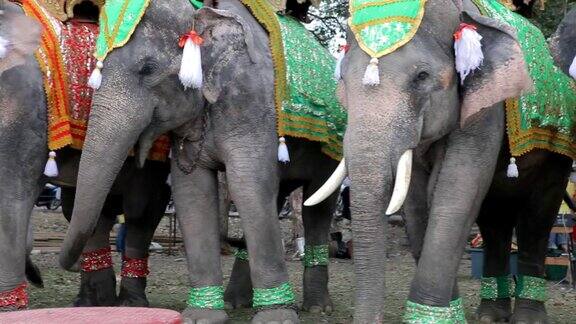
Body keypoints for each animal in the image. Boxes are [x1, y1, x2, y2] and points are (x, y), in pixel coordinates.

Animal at [0, 0, 170, 308]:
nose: (38, 278)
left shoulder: (22, 112)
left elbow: (12, 198)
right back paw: (92, 302)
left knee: (141, 209)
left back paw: (127, 304)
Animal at [55, 1, 342, 322]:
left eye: (147, 69)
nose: (69, 265)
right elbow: (193, 193)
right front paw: (201, 316)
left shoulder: (251, 100)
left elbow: (247, 185)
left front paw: (276, 318)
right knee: (277, 194)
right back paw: (235, 302)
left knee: (316, 206)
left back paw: (316, 307)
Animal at [306, 0, 572, 322]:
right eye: (343, 79)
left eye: (421, 76)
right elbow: (418, 202)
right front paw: (446, 311)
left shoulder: (485, 107)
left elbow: (456, 189)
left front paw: (430, 315)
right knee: (494, 219)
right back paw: (490, 315)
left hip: (557, 151)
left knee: (537, 214)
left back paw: (527, 318)